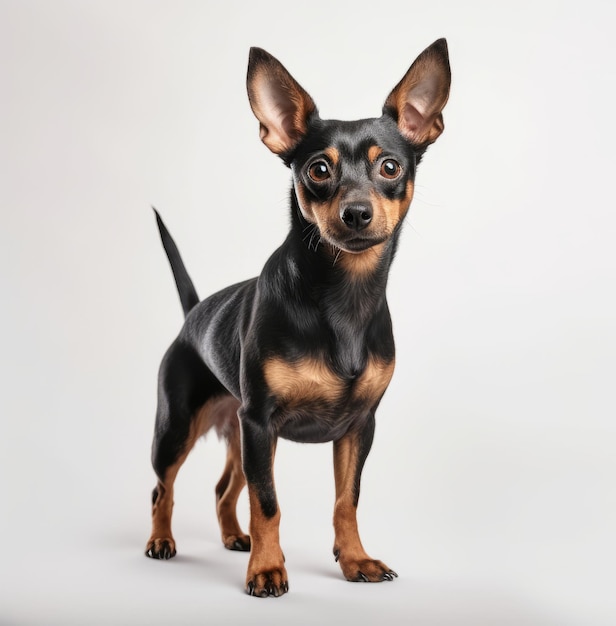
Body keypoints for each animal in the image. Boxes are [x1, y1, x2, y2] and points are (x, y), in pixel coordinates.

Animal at [146, 39, 450, 596]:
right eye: (318, 170)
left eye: (390, 167)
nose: (356, 212)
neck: (344, 298)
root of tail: (193, 314)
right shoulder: (261, 423)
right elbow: (269, 504)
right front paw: (268, 569)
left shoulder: (357, 428)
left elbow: (346, 501)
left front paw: (355, 560)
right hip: (179, 428)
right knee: (164, 488)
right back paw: (162, 541)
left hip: (238, 432)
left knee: (224, 488)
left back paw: (233, 538)